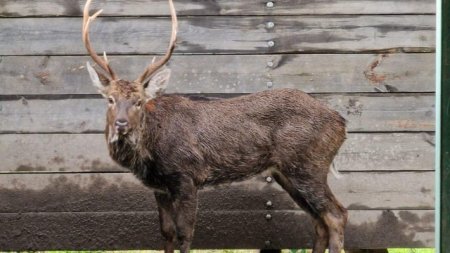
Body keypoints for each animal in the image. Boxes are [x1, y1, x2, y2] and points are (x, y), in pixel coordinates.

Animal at [81, 0, 348, 253]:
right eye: (110, 99)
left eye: (139, 101)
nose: (121, 124)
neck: (151, 152)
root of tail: (341, 122)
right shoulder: (160, 187)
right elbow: (166, 233)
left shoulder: (186, 175)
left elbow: (185, 233)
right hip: (287, 172)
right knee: (319, 221)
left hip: (309, 165)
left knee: (336, 215)